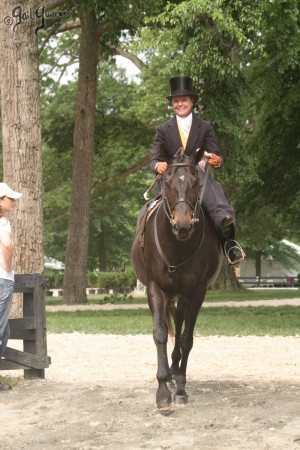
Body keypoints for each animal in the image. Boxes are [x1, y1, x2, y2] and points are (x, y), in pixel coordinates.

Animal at [131, 151, 223, 408]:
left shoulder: (197, 292)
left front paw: (180, 387)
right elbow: (160, 334)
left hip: (182, 294)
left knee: (180, 323)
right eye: (167, 182)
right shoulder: (155, 289)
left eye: (196, 183)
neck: (177, 246)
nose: (183, 225)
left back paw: (175, 372)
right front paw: (163, 390)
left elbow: (186, 339)